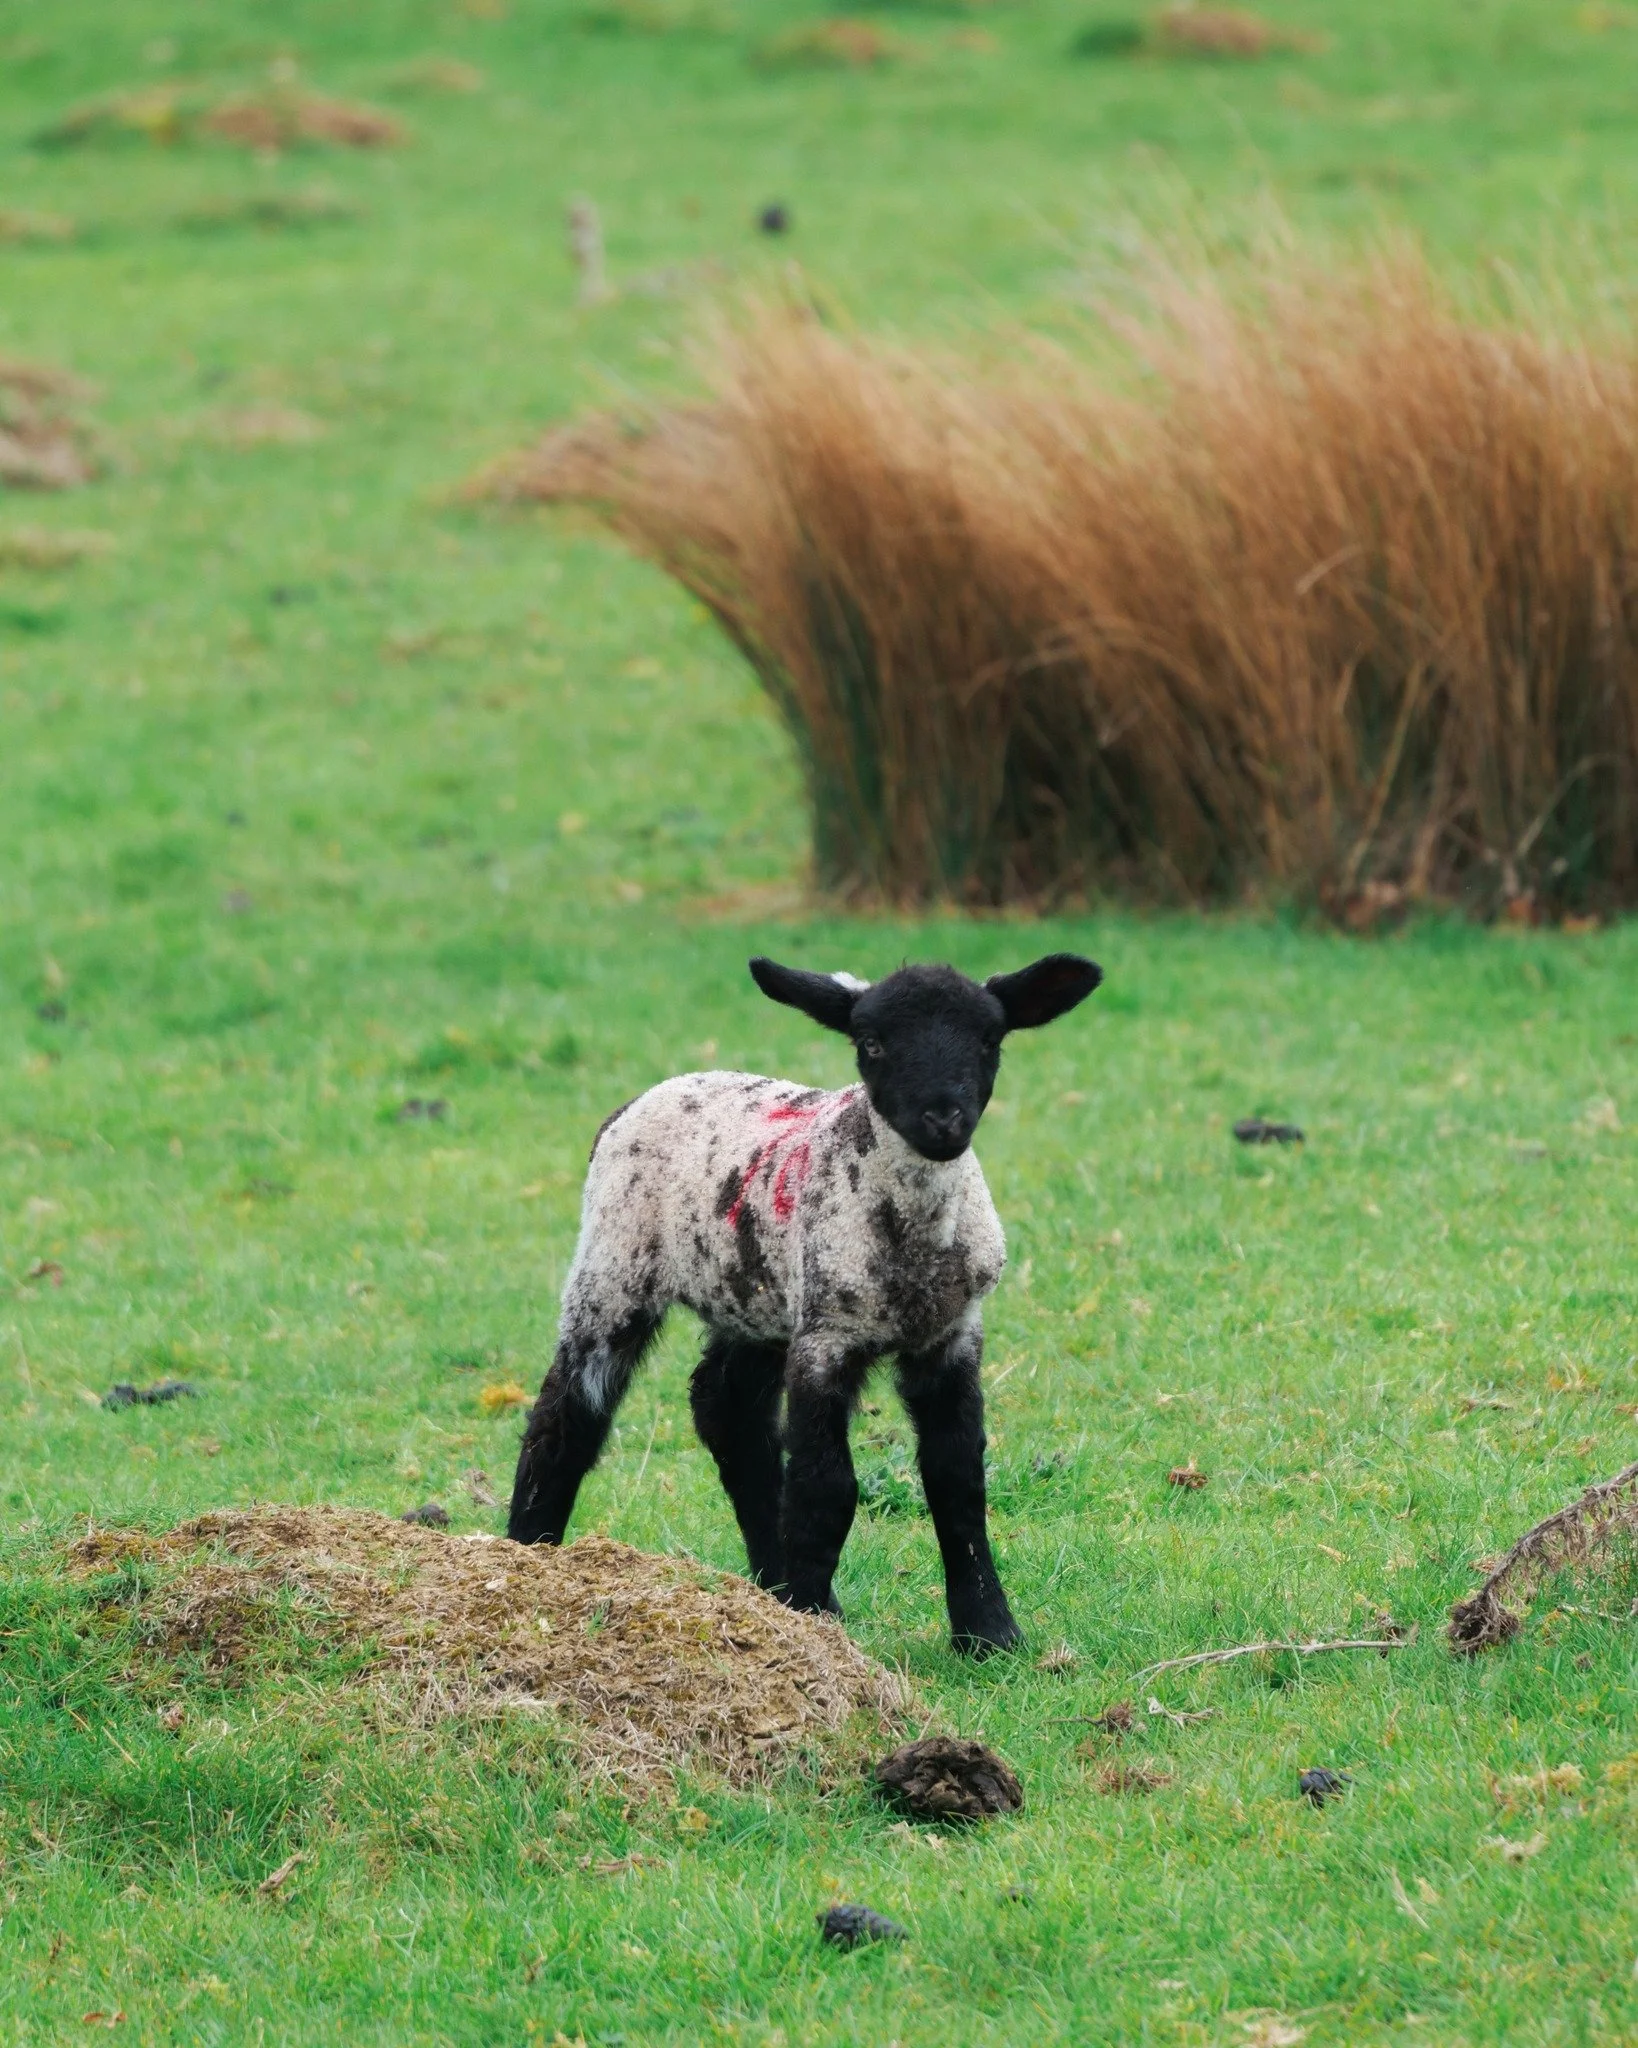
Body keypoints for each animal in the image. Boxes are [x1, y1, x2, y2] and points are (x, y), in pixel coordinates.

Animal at [507, 951, 1102, 1656]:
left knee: (727, 1409)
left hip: (752, 1297)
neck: (911, 1245)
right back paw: (529, 1552)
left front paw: (988, 1632)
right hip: (613, 1264)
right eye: (871, 1043)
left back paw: (774, 1583)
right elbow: (826, 1486)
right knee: (566, 1413)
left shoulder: (952, 1335)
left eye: (990, 1040)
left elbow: (957, 1477)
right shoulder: (826, 1337)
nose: (943, 1120)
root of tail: (643, 1097)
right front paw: (818, 1619)